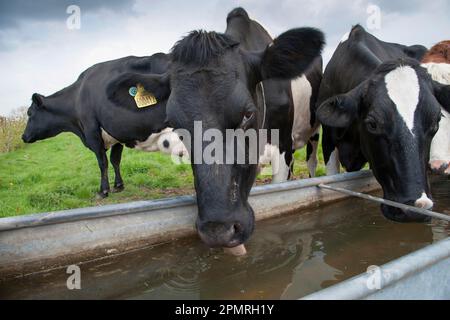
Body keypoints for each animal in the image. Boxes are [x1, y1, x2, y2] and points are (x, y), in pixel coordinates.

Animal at [22, 52, 187, 199]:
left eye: (29, 113)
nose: (23, 136)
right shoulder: (118, 132)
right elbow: (115, 160)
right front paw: (119, 186)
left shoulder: (92, 132)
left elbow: (103, 162)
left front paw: (103, 191)